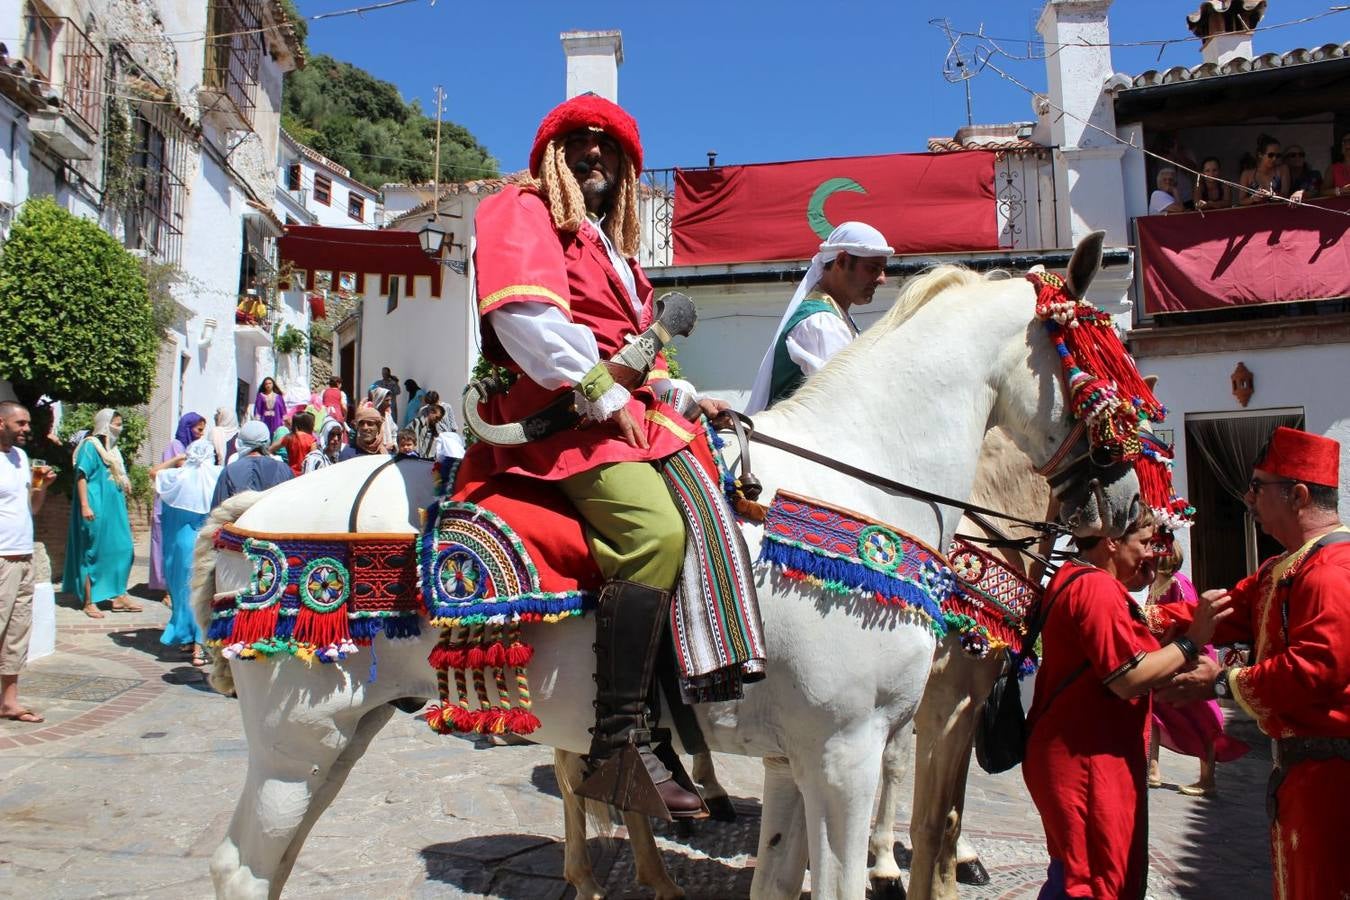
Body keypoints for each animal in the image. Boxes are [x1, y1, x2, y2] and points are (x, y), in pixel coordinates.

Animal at [195, 234, 1134, 900]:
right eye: (1104, 355)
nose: (1131, 505)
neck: (859, 480)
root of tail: (254, 515)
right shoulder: (851, 748)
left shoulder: (798, 760)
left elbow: (781, 880)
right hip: (297, 743)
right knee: (243, 867)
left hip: (346, 735)